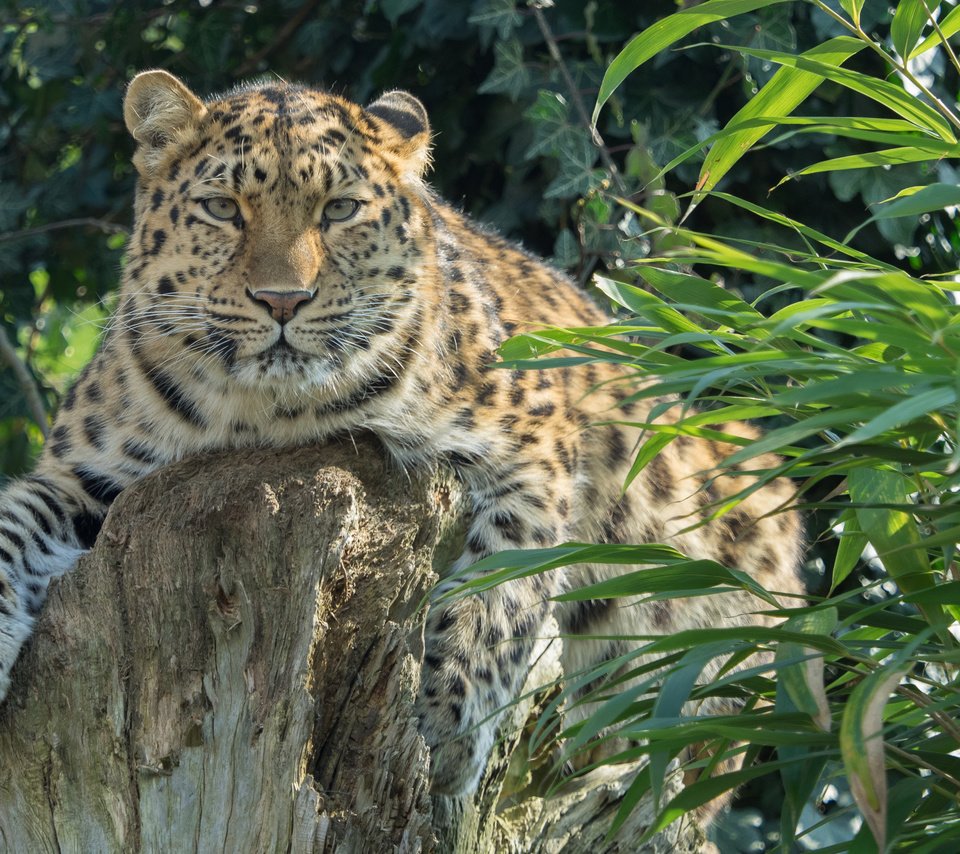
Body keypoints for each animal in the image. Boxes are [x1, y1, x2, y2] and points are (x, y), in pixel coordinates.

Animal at [0, 70, 804, 800]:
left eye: (340, 209)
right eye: (223, 209)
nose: (282, 300)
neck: (269, 414)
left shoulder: (534, 440)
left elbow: (503, 589)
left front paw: (444, 728)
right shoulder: (84, 477)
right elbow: (12, 524)